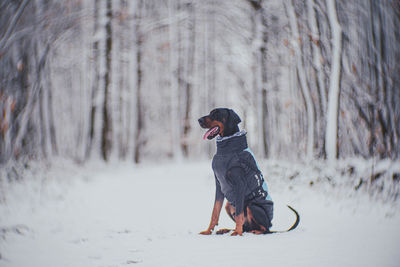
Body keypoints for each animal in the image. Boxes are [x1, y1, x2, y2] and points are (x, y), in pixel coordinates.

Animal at [198, 108, 298, 236]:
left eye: (217, 114)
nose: (199, 120)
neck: (226, 150)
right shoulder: (219, 185)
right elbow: (215, 211)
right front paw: (208, 231)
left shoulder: (239, 184)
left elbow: (239, 213)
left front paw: (237, 232)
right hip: (228, 205)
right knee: (246, 226)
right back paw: (226, 230)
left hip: (252, 205)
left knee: (265, 229)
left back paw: (253, 231)